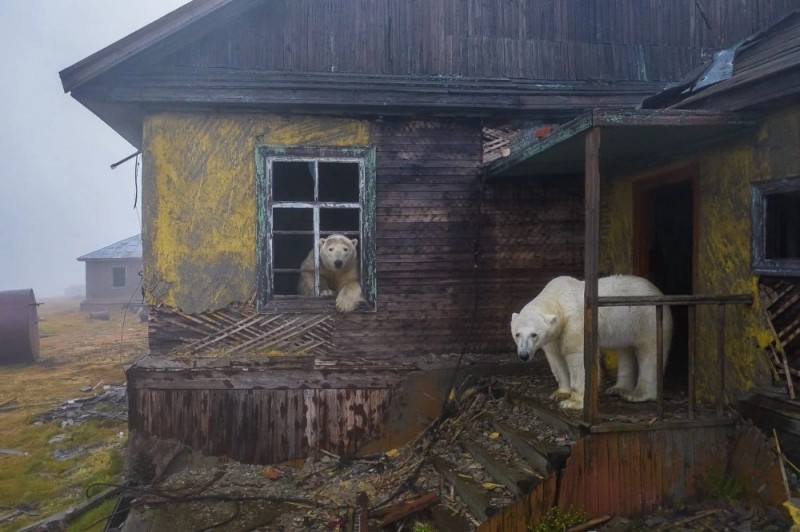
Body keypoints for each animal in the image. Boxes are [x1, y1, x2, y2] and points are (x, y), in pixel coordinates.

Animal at [510, 276, 672, 410]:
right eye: (517, 334)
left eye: (534, 334)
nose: (523, 355)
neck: (558, 299)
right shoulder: (554, 336)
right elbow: (555, 358)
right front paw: (560, 393)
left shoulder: (575, 323)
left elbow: (579, 357)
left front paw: (573, 402)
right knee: (626, 350)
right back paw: (618, 389)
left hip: (647, 319)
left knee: (649, 353)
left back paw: (638, 394)